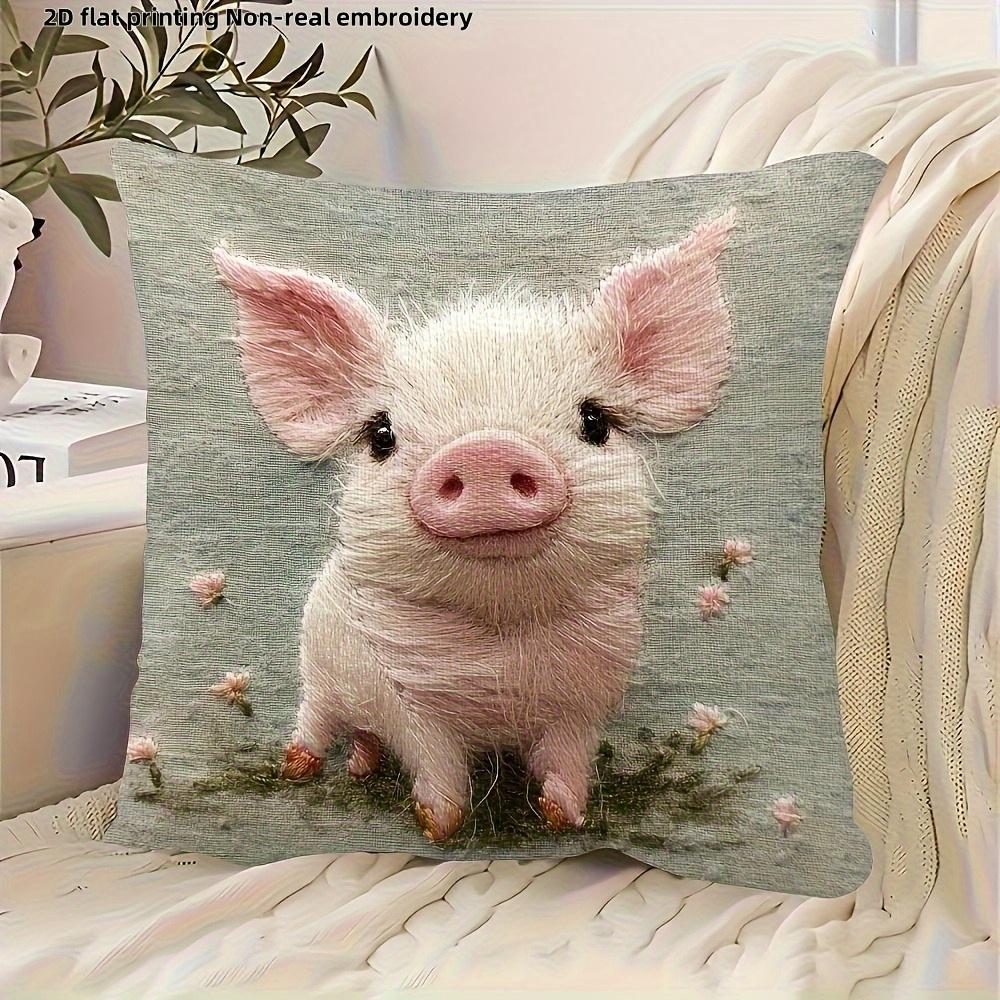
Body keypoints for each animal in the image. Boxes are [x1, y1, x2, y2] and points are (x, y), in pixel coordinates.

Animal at [214, 210, 734, 842]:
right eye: (381, 435)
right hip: (316, 662)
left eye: (595, 420)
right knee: (317, 717)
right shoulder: (406, 699)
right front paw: (439, 828)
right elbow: (434, 760)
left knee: (361, 734)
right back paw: (298, 770)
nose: (486, 451)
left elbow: (567, 759)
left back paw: (360, 770)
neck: (502, 648)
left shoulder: (588, 700)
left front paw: (566, 820)